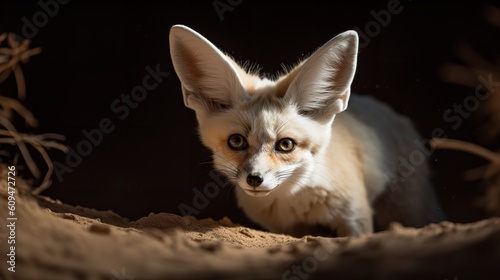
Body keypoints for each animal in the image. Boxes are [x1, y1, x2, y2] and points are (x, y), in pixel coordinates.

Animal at [170, 25, 444, 237]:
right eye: (236, 141)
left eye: (285, 144)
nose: (254, 179)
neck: (290, 201)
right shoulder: (286, 229)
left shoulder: (356, 217)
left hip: (409, 208)